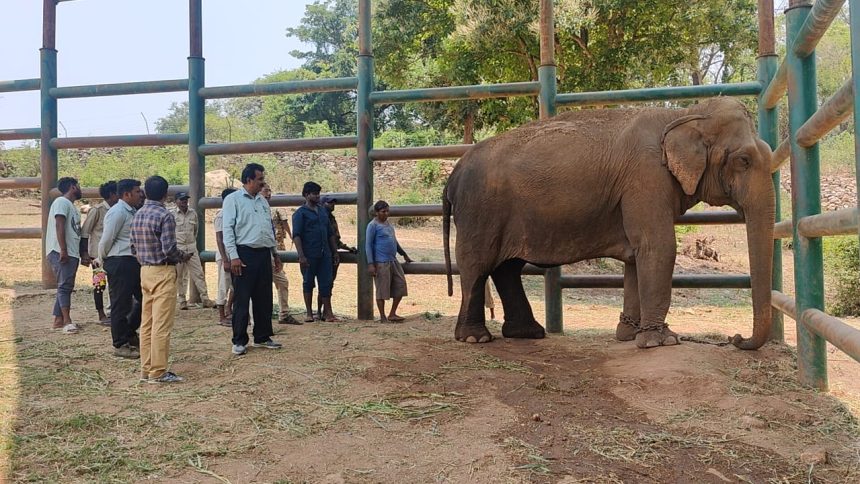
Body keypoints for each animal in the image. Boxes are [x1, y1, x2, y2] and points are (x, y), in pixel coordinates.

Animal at [446, 97, 776, 348]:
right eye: (744, 160)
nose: (735, 339)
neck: (685, 114)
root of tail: (454, 173)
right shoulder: (646, 177)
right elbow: (658, 247)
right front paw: (661, 341)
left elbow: (636, 255)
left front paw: (629, 335)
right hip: (480, 210)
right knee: (477, 265)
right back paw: (476, 338)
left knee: (507, 268)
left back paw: (527, 333)